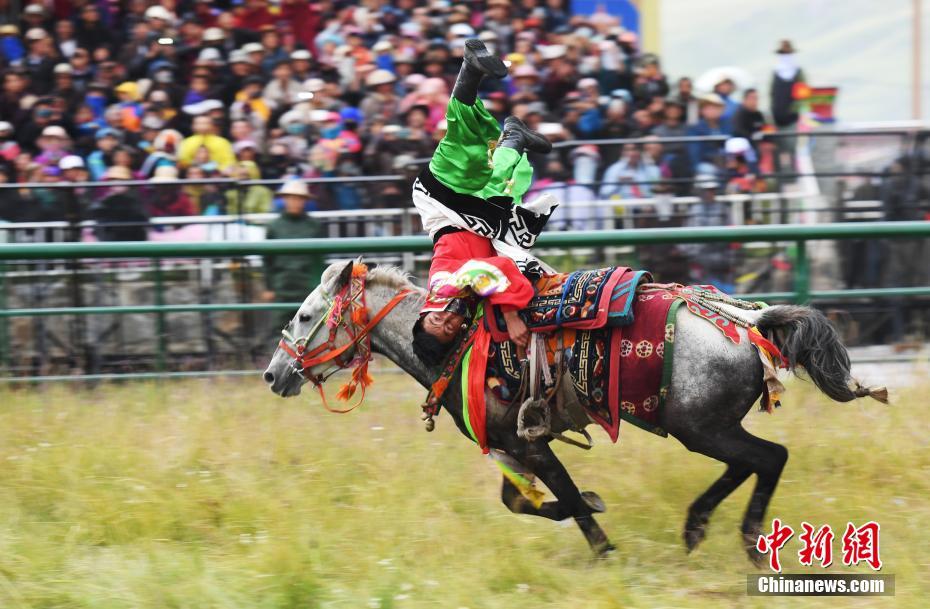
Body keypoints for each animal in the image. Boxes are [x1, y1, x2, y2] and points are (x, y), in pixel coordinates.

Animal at [262, 260, 884, 560]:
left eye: (303, 316)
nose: (273, 374)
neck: (454, 338)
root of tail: (749, 322)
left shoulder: (528, 443)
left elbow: (564, 501)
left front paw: (602, 540)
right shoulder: (517, 448)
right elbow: (521, 501)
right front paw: (591, 511)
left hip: (699, 427)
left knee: (769, 458)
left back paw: (747, 539)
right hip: (709, 427)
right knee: (750, 463)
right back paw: (697, 526)